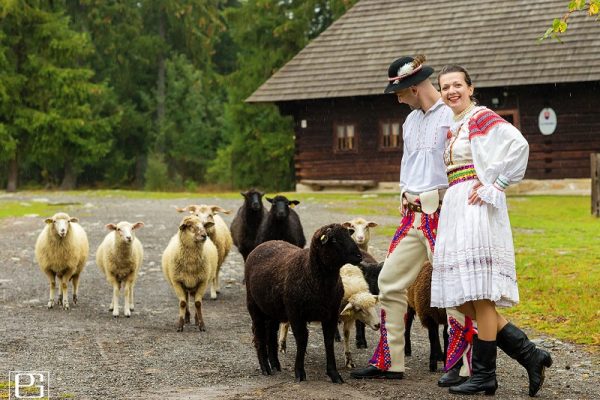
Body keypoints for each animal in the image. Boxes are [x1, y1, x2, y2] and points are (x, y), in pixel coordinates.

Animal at [244, 223, 360, 382]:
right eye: (334, 240)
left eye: (349, 235)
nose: (359, 256)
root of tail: (265, 243)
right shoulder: (295, 313)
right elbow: (302, 339)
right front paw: (299, 372)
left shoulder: (331, 313)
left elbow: (328, 341)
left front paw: (334, 374)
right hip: (254, 306)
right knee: (259, 335)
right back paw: (265, 368)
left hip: (273, 309)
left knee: (271, 335)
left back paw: (275, 365)